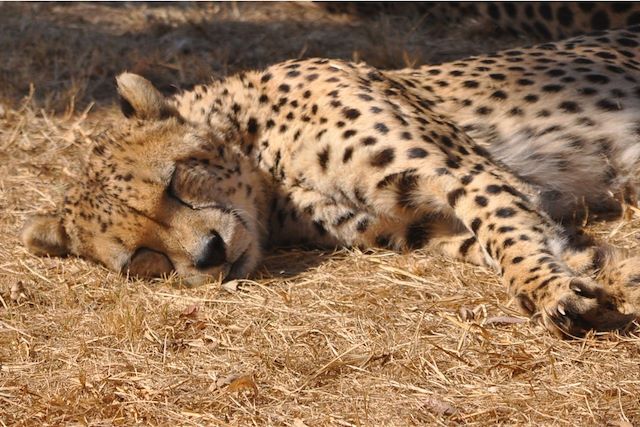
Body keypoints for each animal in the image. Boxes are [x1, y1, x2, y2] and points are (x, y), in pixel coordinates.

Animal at [26, 26, 640, 340]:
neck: (267, 169)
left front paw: (551, 289)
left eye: (175, 181)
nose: (209, 256)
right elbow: (511, 242)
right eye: (143, 258)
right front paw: (598, 273)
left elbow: (507, 234)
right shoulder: (412, 226)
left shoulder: (459, 168)